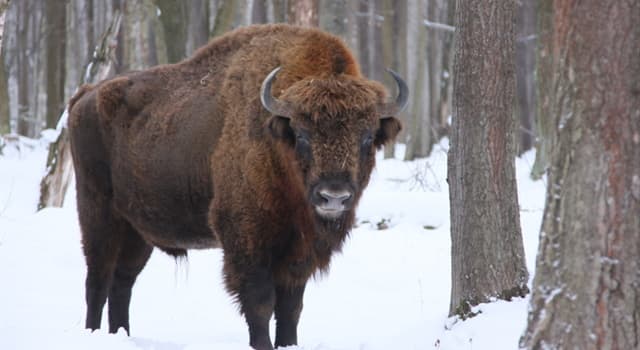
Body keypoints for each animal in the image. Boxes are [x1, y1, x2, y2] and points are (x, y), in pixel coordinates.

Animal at [67, 23, 408, 348]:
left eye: (367, 137)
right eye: (301, 135)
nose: (333, 197)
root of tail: (84, 95)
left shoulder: (298, 254)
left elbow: (291, 309)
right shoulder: (246, 241)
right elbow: (260, 304)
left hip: (137, 230)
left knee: (123, 282)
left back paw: (121, 334)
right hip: (97, 213)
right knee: (97, 281)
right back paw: (93, 333)